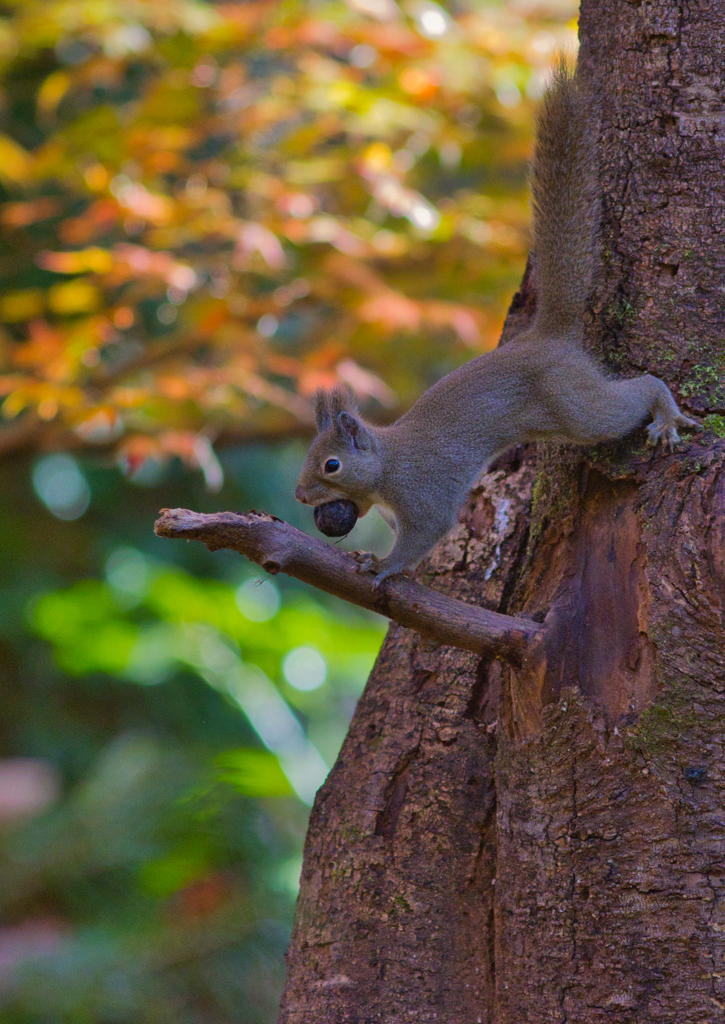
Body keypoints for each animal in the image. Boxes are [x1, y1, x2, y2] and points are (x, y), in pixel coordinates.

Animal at [292, 61, 696, 585]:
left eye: (332, 464)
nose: (301, 496)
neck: (386, 466)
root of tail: (548, 337)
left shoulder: (422, 494)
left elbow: (425, 533)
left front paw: (384, 567)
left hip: (573, 404)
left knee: (632, 395)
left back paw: (663, 412)